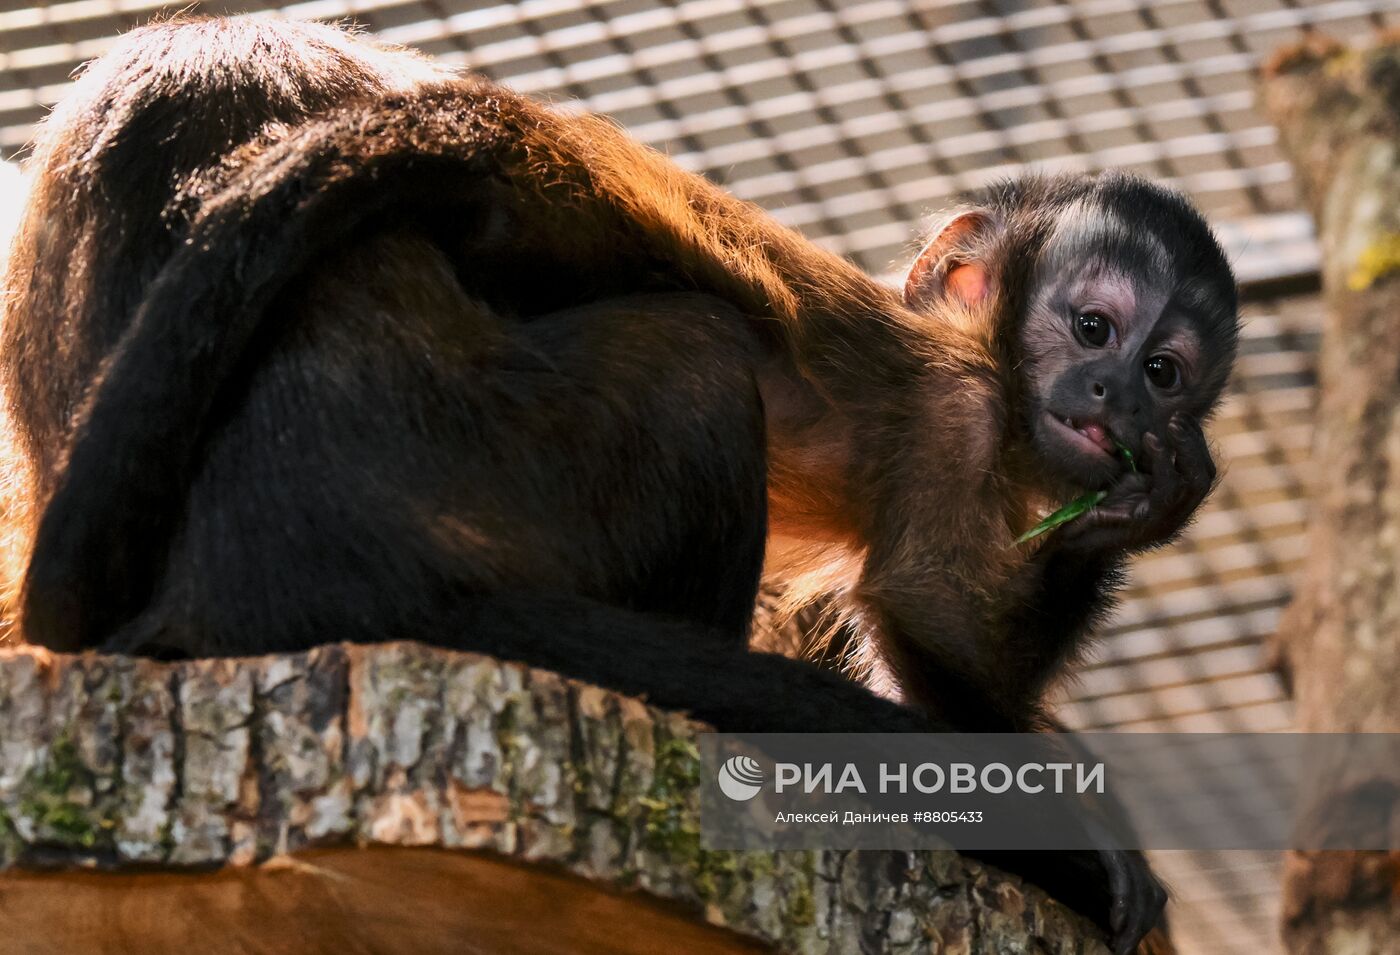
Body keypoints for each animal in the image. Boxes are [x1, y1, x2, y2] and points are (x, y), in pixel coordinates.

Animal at [5, 14, 1243, 946]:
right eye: (1091, 326)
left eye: (1165, 372)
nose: (1116, 397)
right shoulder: (959, 417)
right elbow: (931, 624)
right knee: (695, 358)